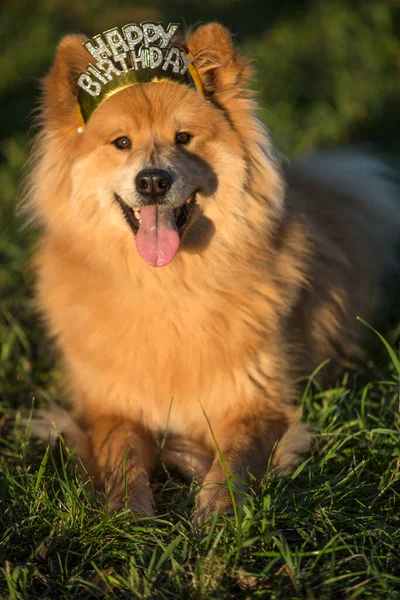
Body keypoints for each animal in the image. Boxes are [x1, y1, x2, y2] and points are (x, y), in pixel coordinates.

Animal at [22, 21, 400, 524]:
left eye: (184, 138)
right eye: (121, 143)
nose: (153, 181)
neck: (167, 286)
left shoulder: (256, 402)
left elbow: (234, 456)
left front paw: (218, 512)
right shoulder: (108, 406)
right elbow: (121, 454)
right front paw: (129, 515)